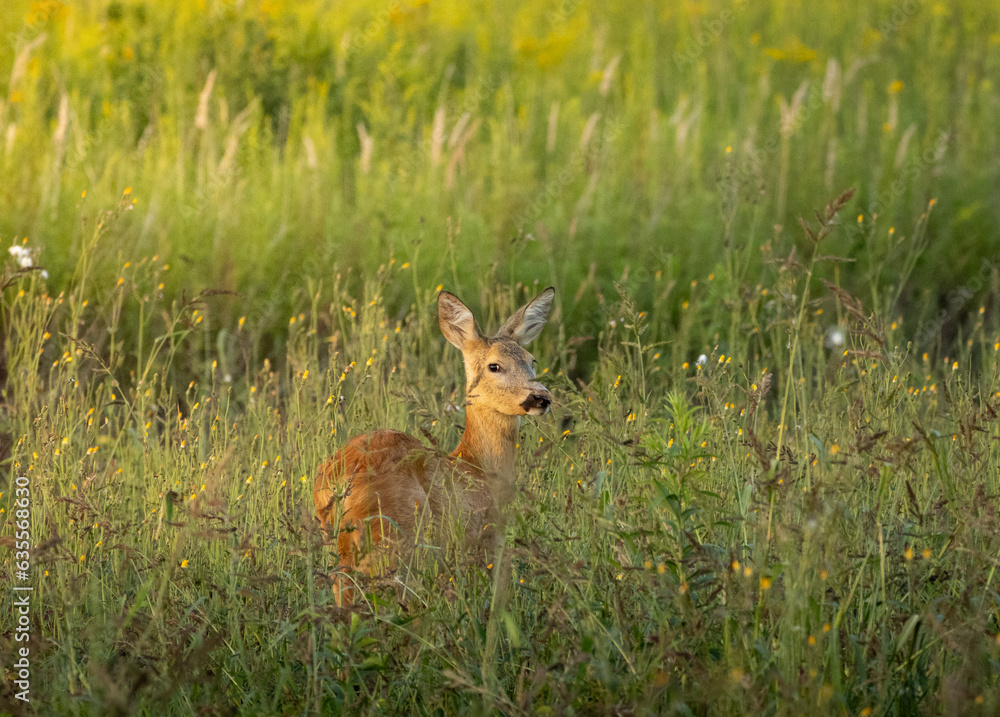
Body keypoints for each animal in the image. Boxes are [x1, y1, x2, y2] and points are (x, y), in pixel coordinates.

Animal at [314, 287, 555, 605]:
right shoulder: (483, 538)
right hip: (395, 540)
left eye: (532, 360)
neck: (476, 467)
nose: (541, 397)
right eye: (494, 365)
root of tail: (340, 481)